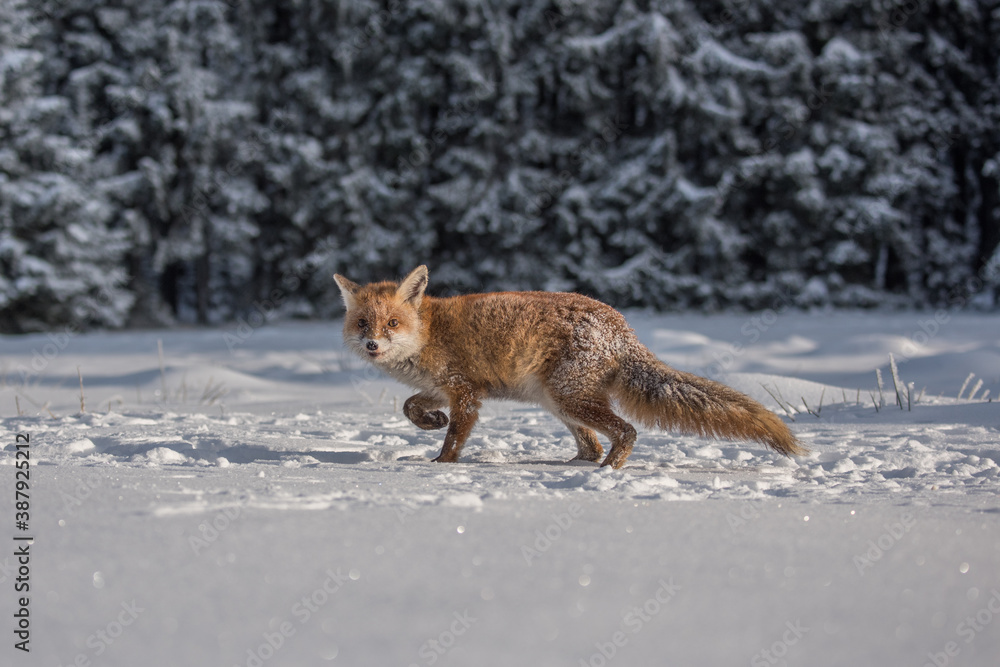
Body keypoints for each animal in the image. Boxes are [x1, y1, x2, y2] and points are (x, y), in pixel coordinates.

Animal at [333, 265, 806, 469]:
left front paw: (440, 463)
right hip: (559, 403)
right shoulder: (440, 387)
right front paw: (430, 421)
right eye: (363, 324)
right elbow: (410, 407)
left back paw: (607, 472)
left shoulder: (466, 392)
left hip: (567, 397)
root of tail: (622, 327)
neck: (429, 332)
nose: (372, 344)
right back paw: (570, 465)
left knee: (626, 432)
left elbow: (454, 437)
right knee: (592, 444)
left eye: (392, 324)